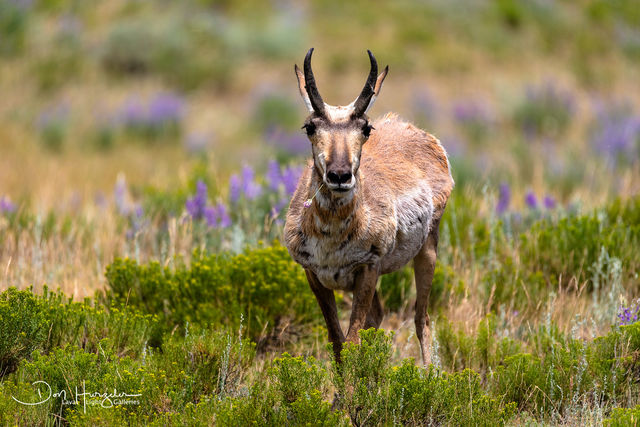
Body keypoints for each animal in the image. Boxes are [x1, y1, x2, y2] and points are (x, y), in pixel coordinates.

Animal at [284, 48, 454, 365]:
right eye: (310, 126)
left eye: (365, 127)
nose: (339, 175)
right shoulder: (314, 276)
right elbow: (338, 343)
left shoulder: (368, 270)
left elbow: (351, 342)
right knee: (380, 316)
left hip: (428, 250)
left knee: (421, 318)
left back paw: (430, 373)